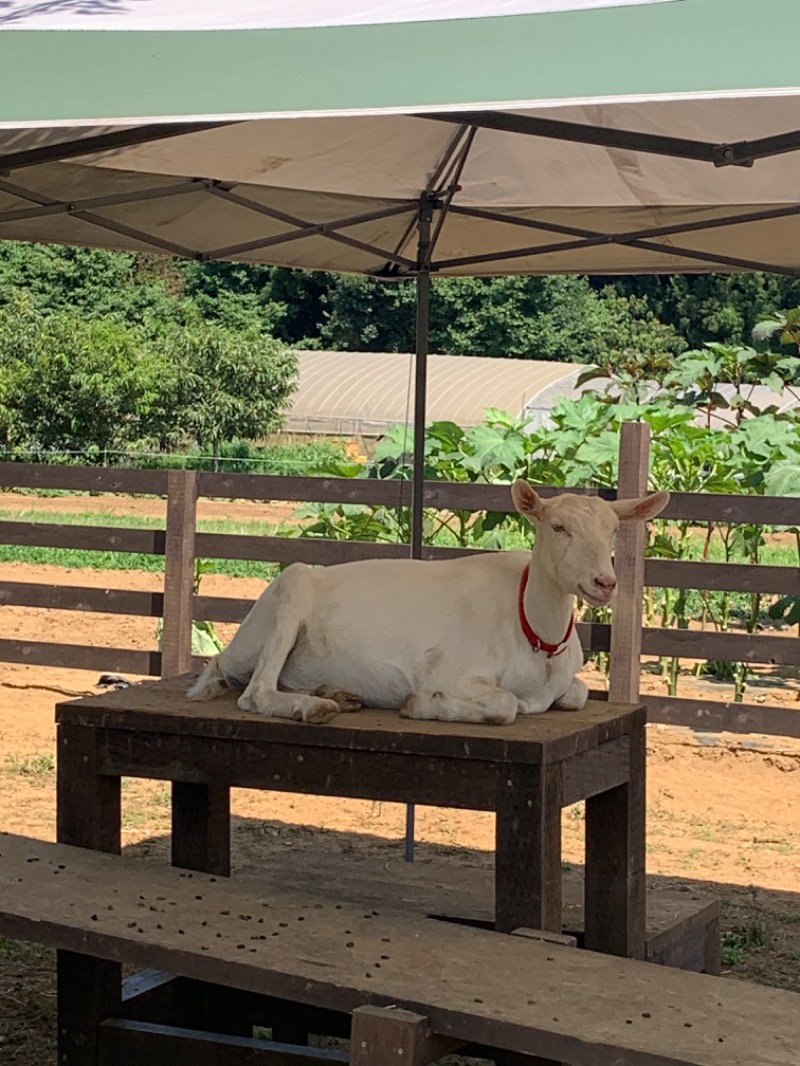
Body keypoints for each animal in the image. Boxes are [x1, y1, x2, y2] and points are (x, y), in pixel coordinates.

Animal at [187, 481, 669, 724]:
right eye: (558, 527)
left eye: (613, 530)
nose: (604, 582)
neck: (532, 631)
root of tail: (233, 650)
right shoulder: (454, 672)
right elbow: (506, 705)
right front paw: (422, 704)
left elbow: (579, 694)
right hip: (290, 593)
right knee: (256, 692)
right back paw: (315, 707)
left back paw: (335, 693)